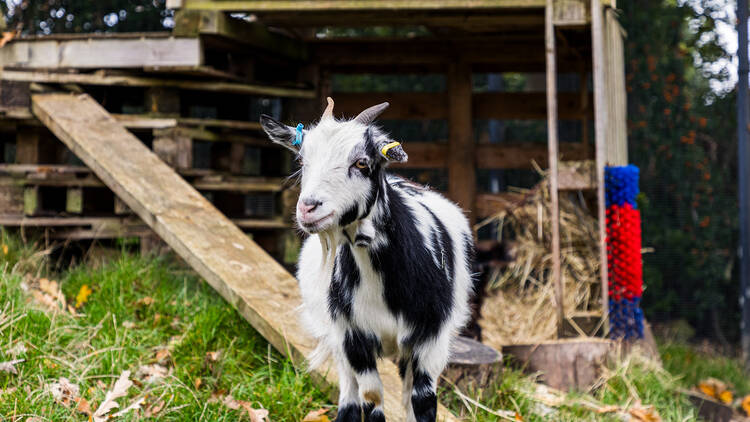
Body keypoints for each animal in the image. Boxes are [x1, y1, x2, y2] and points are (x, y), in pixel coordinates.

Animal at [262, 99, 472, 422]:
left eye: (361, 162)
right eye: (301, 161)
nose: (308, 208)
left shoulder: (432, 338)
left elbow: (423, 401)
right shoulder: (353, 336)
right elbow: (371, 399)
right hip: (336, 335)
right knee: (349, 390)